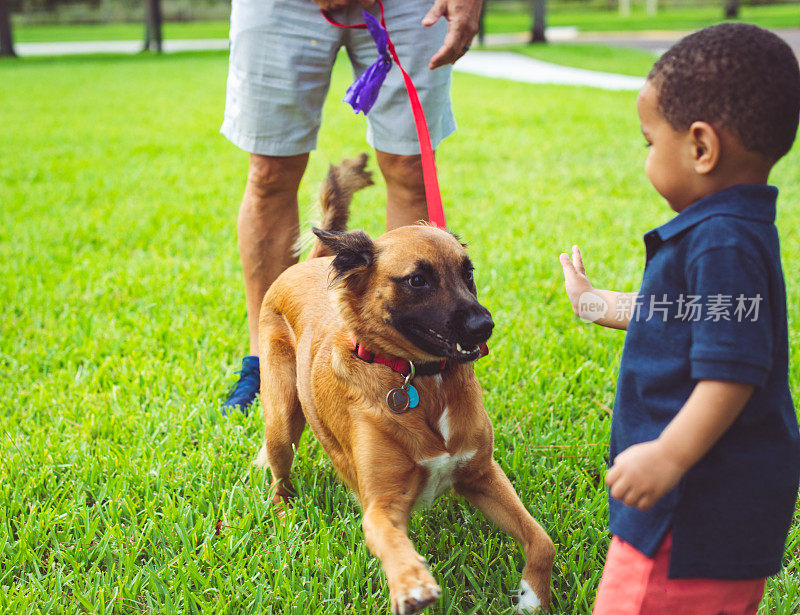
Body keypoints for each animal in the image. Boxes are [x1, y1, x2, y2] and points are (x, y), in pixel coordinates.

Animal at [256, 155, 556, 615]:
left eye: (468, 273)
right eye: (418, 280)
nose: (484, 325)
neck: (419, 377)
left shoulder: (483, 474)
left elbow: (542, 540)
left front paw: (533, 597)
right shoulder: (383, 503)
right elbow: (391, 541)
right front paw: (410, 581)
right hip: (281, 422)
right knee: (279, 472)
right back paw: (286, 512)